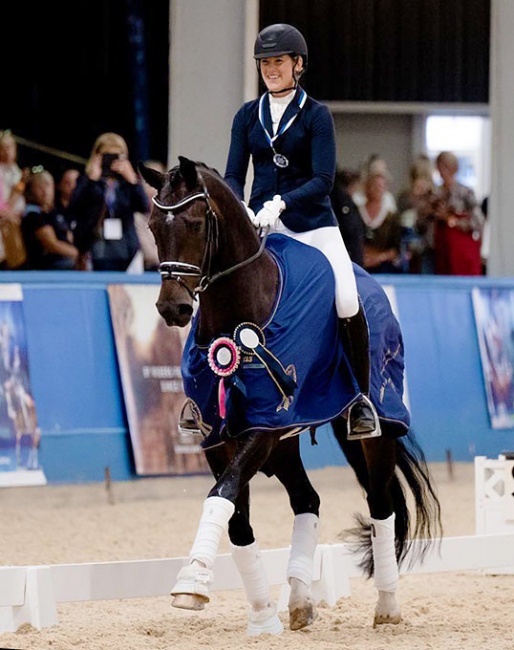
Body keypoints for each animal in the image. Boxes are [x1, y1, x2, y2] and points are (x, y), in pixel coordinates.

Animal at [139, 156, 440, 632]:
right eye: (152, 225)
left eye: (195, 223)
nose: (173, 309)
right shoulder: (221, 436)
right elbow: (236, 519)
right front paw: (262, 616)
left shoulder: (265, 424)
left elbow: (222, 494)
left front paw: (192, 582)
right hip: (285, 441)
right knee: (307, 500)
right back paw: (298, 598)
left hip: (373, 431)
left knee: (380, 504)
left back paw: (387, 607)